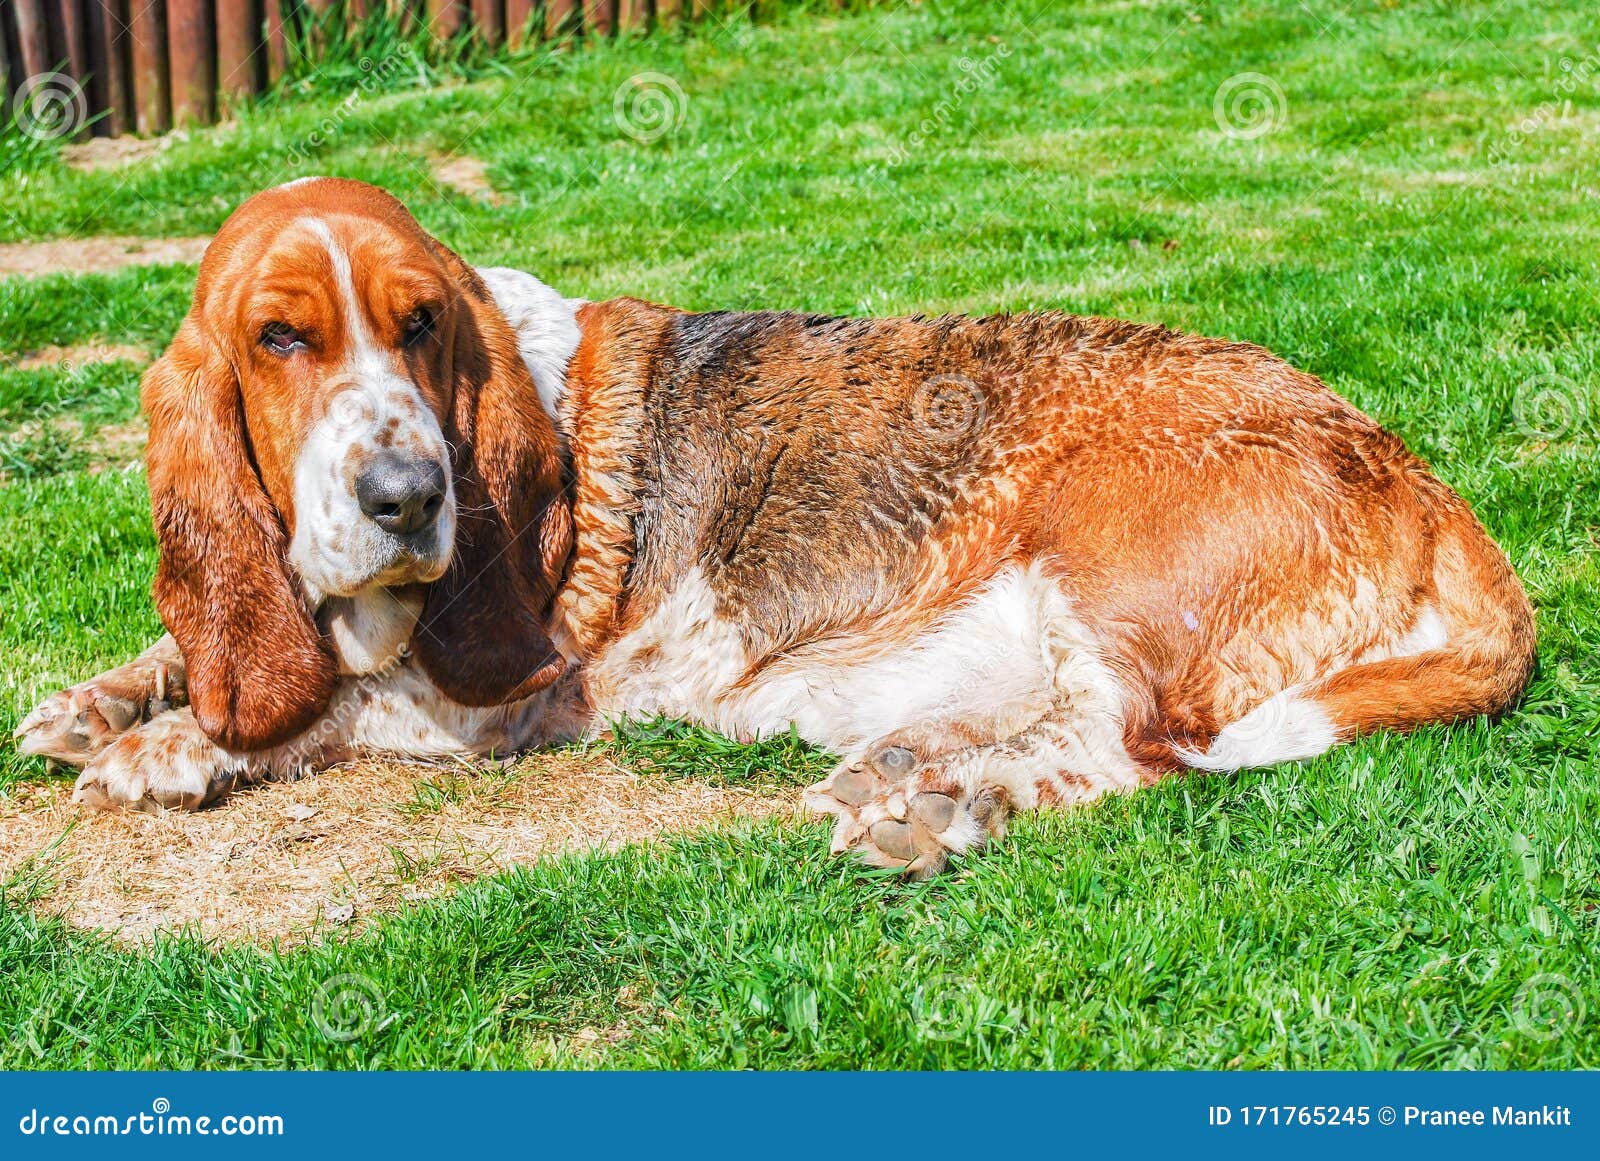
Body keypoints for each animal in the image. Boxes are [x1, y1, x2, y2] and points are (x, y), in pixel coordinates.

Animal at [12, 179, 1536, 869]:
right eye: (280, 338)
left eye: (421, 324)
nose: (406, 497)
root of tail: (1413, 468)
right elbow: (207, 647)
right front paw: (100, 702)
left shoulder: (493, 703)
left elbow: (337, 700)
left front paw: (172, 750)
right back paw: (905, 777)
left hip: (1107, 570)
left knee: (1129, 751)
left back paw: (942, 810)